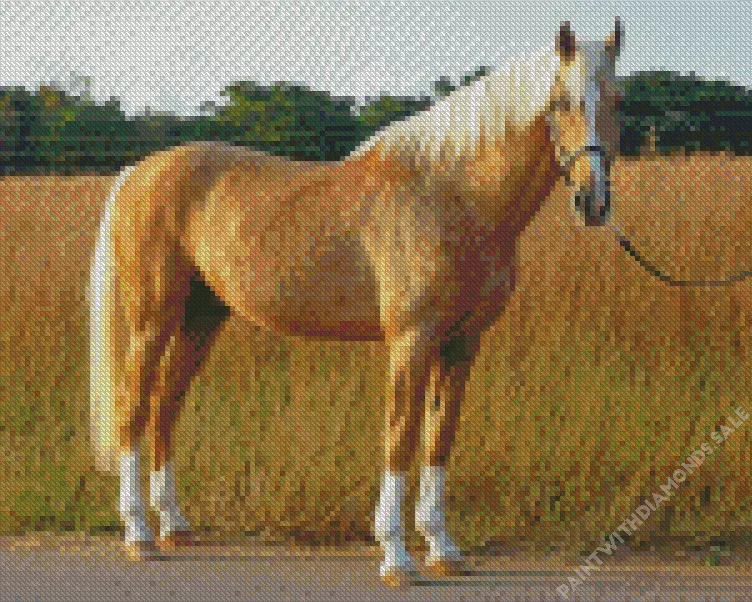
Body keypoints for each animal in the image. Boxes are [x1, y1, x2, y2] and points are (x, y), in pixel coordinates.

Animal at [89, 20, 623, 585]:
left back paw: (174, 526)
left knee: (165, 406)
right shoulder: (412, 339)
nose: (592, 201)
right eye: (560, 102)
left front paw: (444, 549)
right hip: (153, 318)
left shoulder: (462, 342)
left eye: (618, 100)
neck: (453, 194)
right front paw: (396, 556)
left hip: (201, 319)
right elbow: (401, 435)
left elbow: (440, 436)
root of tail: (134, 173)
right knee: (133, 405)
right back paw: (139, 535)